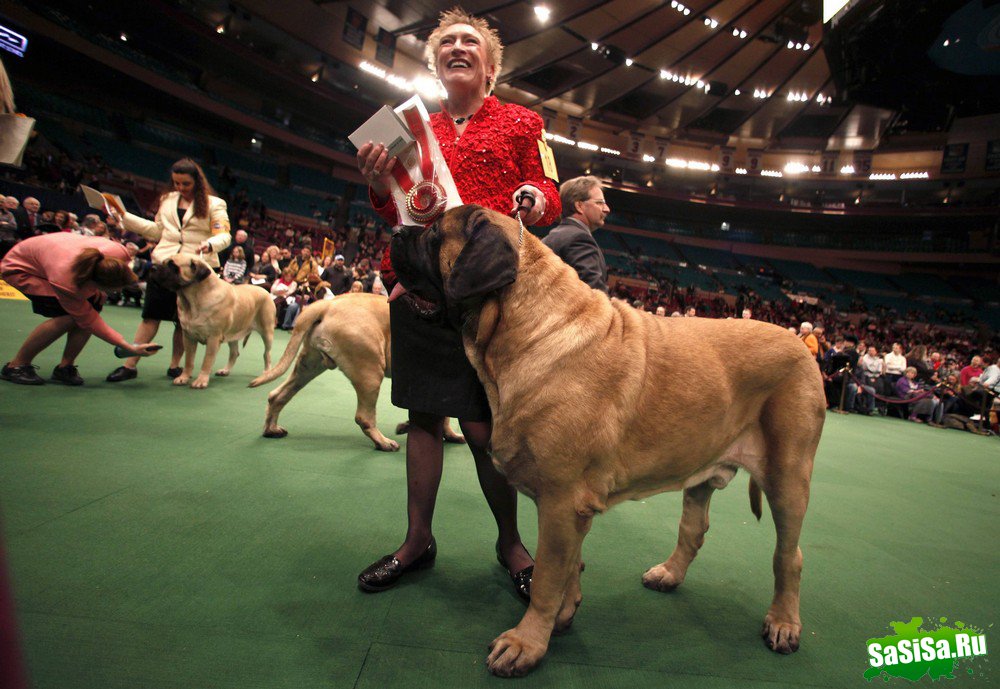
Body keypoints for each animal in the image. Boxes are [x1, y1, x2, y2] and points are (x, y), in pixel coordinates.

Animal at [156, 255, 274, 390]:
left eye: (172, 265)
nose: (154, 267)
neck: (195, 299)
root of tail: (266, 292)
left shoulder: (213, 338)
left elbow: (207, 360)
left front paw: (201, 380)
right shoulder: (188, 337)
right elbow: (189, 360)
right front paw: (183, 377)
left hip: (267, 333)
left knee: (266, 354)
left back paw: (267, 373)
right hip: (233, 333)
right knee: (234, 353)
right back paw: (225, 370)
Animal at [390, 204, 828, 676]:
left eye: (434, 234)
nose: (395, 231)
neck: (526, 330)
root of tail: (800, 344)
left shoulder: (561, 501)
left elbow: (547, 576)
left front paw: (526, 643)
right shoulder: (571, 507)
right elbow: (569, 568)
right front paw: (563, 616)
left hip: (788, 475)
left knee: (790, 555)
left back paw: (783, 623)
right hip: (701, 467)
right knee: (694, 527)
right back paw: (669, 574)